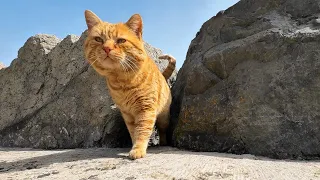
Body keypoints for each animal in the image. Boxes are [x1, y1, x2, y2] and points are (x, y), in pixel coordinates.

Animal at [84, 10, 176, 159]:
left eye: (121, 40)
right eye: (99, 39)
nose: (107, 48)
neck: (122, 82)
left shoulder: (145, 109)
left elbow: (142, 130)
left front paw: (138, 149)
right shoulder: (127, 114)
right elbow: (133, 131)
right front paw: (134, 145)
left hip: (164, 117)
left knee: (162, 130)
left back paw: (163, 142)